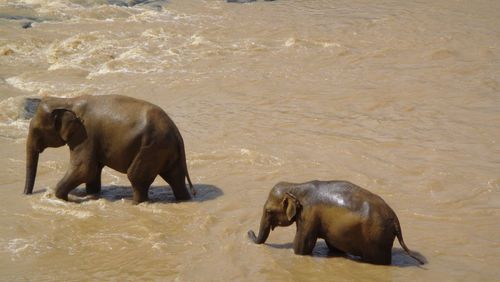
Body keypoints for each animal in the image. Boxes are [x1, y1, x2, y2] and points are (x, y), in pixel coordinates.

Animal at [23, 94, 195, 203]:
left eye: (37, 130)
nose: (26, 195)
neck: (68, 101)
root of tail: (176, 133)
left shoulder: (86, 135)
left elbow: (84, 169)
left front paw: (61, 197)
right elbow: (92, 173)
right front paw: (91, 195)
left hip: (151, 148)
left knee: (136, 178)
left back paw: (134, 203)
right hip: (165, 151)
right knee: (175, 178)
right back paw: (183, 199)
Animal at [248, 181, 424, 264]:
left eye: (268, 211)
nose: (249, 231)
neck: (296, 186)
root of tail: (396, 222)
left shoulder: (308, 215)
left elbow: (302, 247)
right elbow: (333, 245)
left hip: (377, 238)